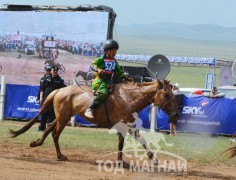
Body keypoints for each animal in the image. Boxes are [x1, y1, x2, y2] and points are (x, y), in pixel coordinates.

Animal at [8, 79, 179, 161]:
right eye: (166, 94)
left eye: (172, 94)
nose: (176, 114)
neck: (129, 98)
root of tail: (60, 90)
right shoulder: (126, 125)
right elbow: (134, 141)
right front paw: (149, 159)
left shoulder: (126, 126)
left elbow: (128, 142)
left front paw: (125, 161)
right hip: (63, 118)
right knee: (55, 134)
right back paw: (59, 155)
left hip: (62, 117)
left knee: (49, 128)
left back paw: (37, 143)